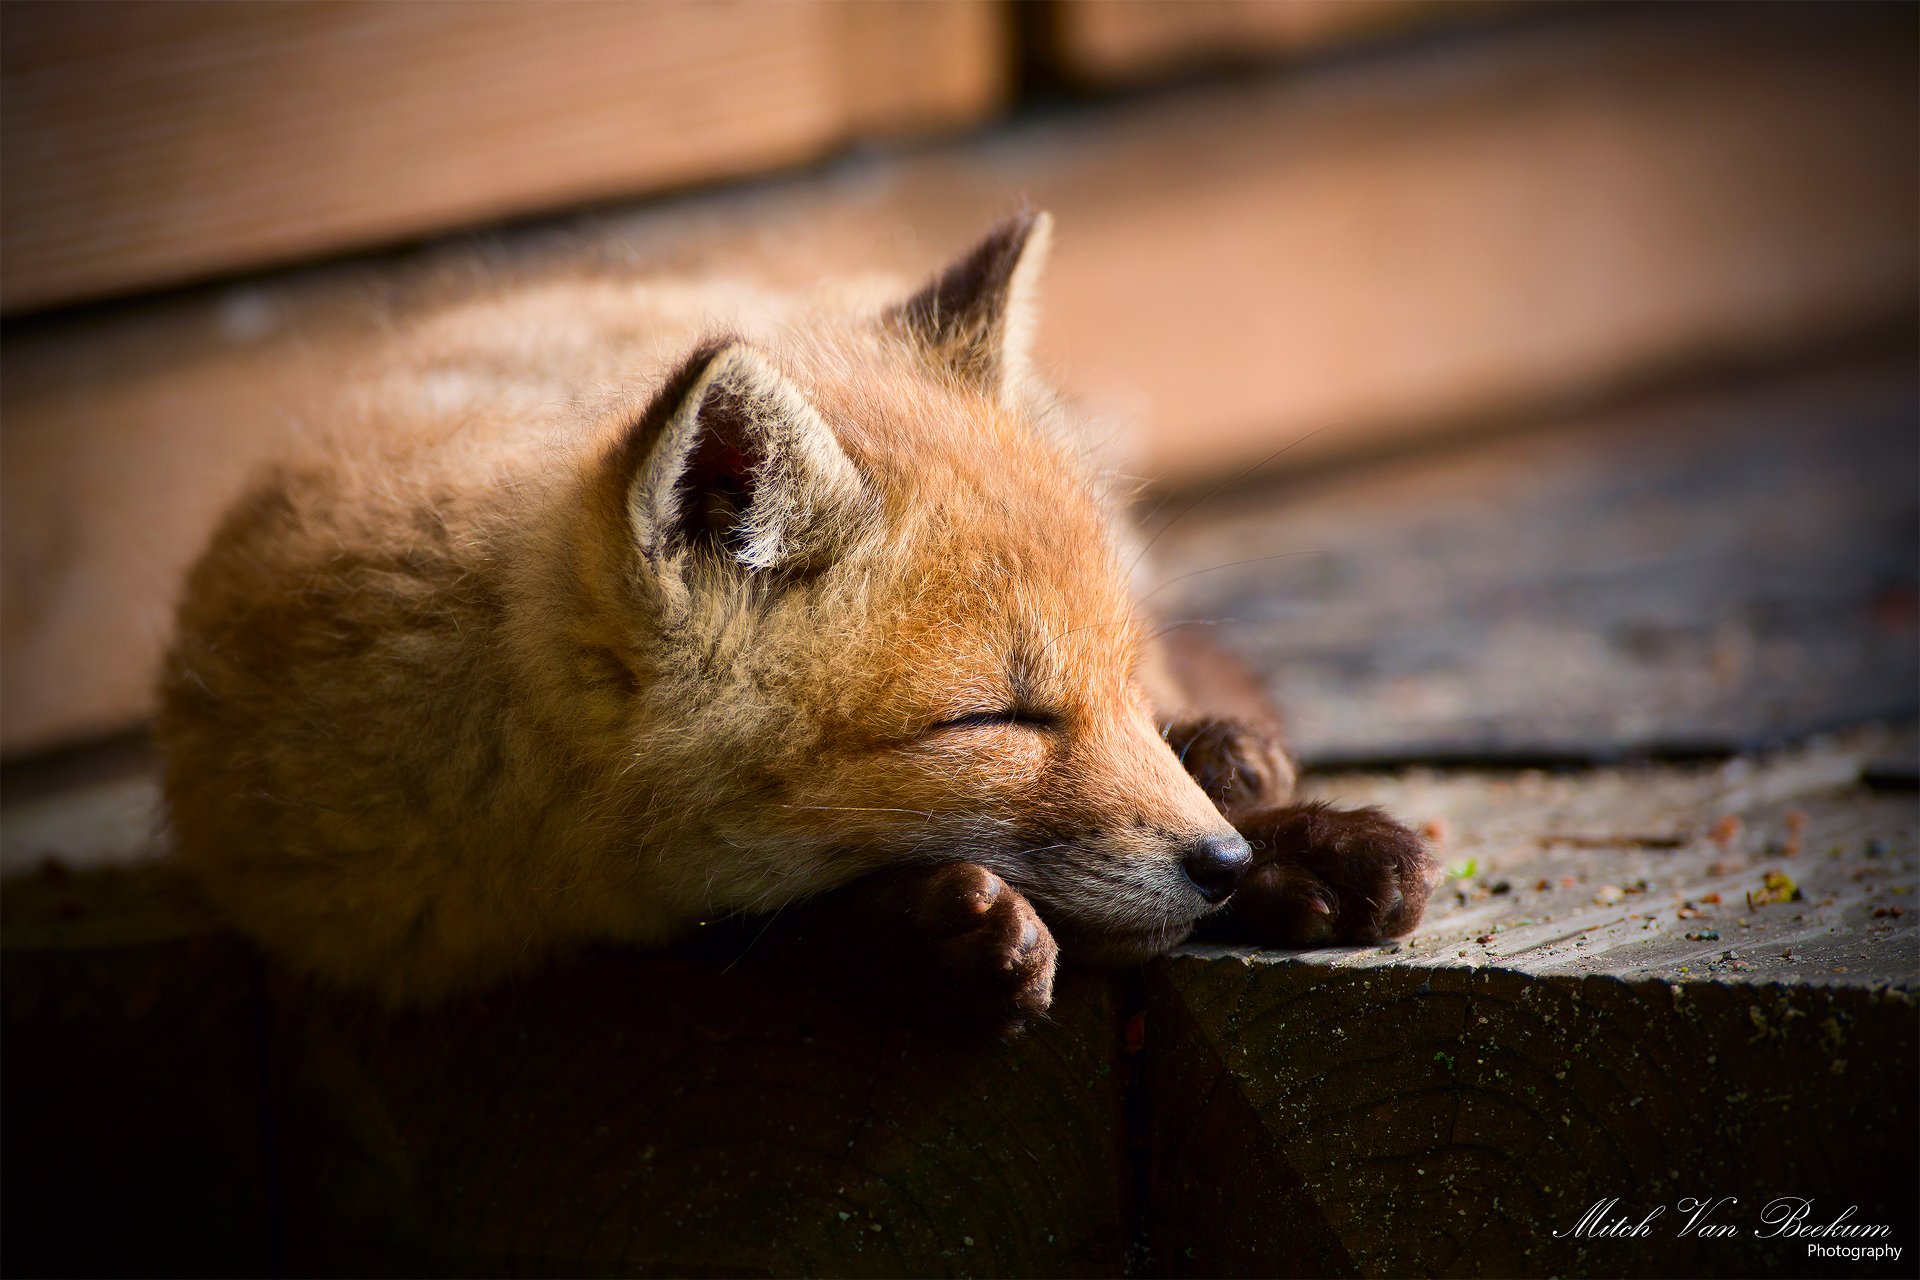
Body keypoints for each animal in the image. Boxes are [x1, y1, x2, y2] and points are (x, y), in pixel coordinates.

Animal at [157, 210, 1433, 1026]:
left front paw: (1292, 840)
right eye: (995, 719)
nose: (1221, 864)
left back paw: (1236, 762)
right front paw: (928, 936)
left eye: (1109, 684)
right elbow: (753, 934)